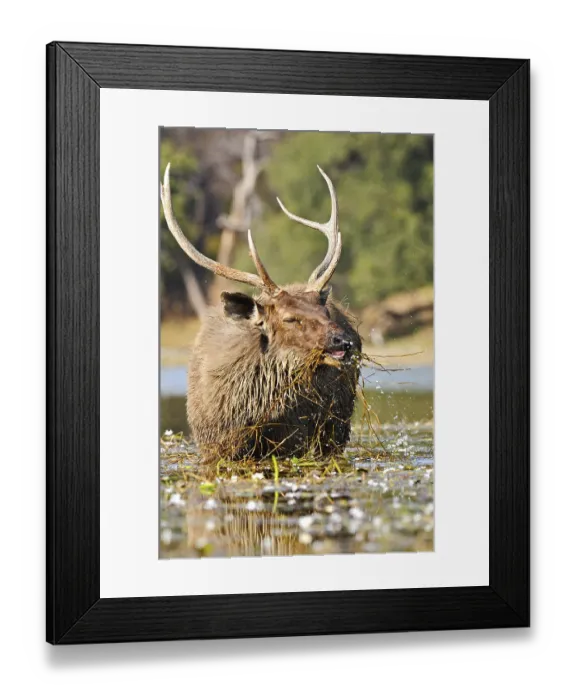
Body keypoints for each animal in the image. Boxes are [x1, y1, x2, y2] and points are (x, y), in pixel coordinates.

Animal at [161, 163, 362, 462]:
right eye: (289, 318)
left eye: (323, 309)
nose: (343, 340)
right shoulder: (214, 446)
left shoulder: (300, 442)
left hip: (337, 428)